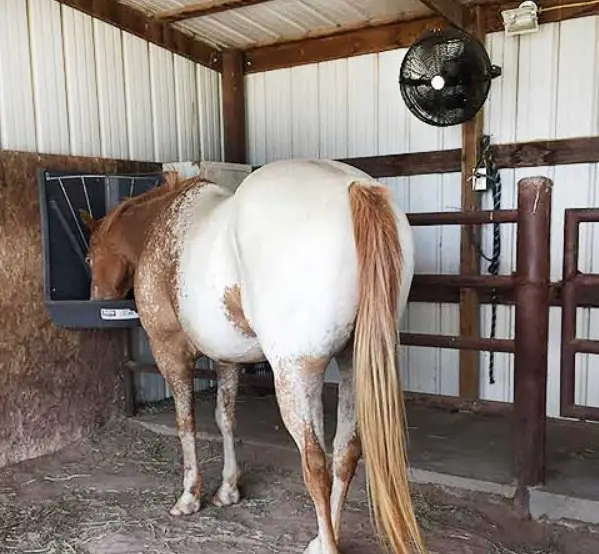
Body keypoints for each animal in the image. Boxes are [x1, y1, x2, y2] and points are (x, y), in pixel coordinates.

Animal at [79, 157, 424, 548]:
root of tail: (354, 187)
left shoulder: (170, 352)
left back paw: (326, 544)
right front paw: (228, 490)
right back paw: (325, 537)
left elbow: (186, 423)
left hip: (296, 375)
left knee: (315, 463)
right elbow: (225, 418)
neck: (162, 227)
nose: (95, 299)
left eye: (89, 255)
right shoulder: (227, 359)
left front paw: (189, 497)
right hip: (352, 366)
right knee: (345, 453)